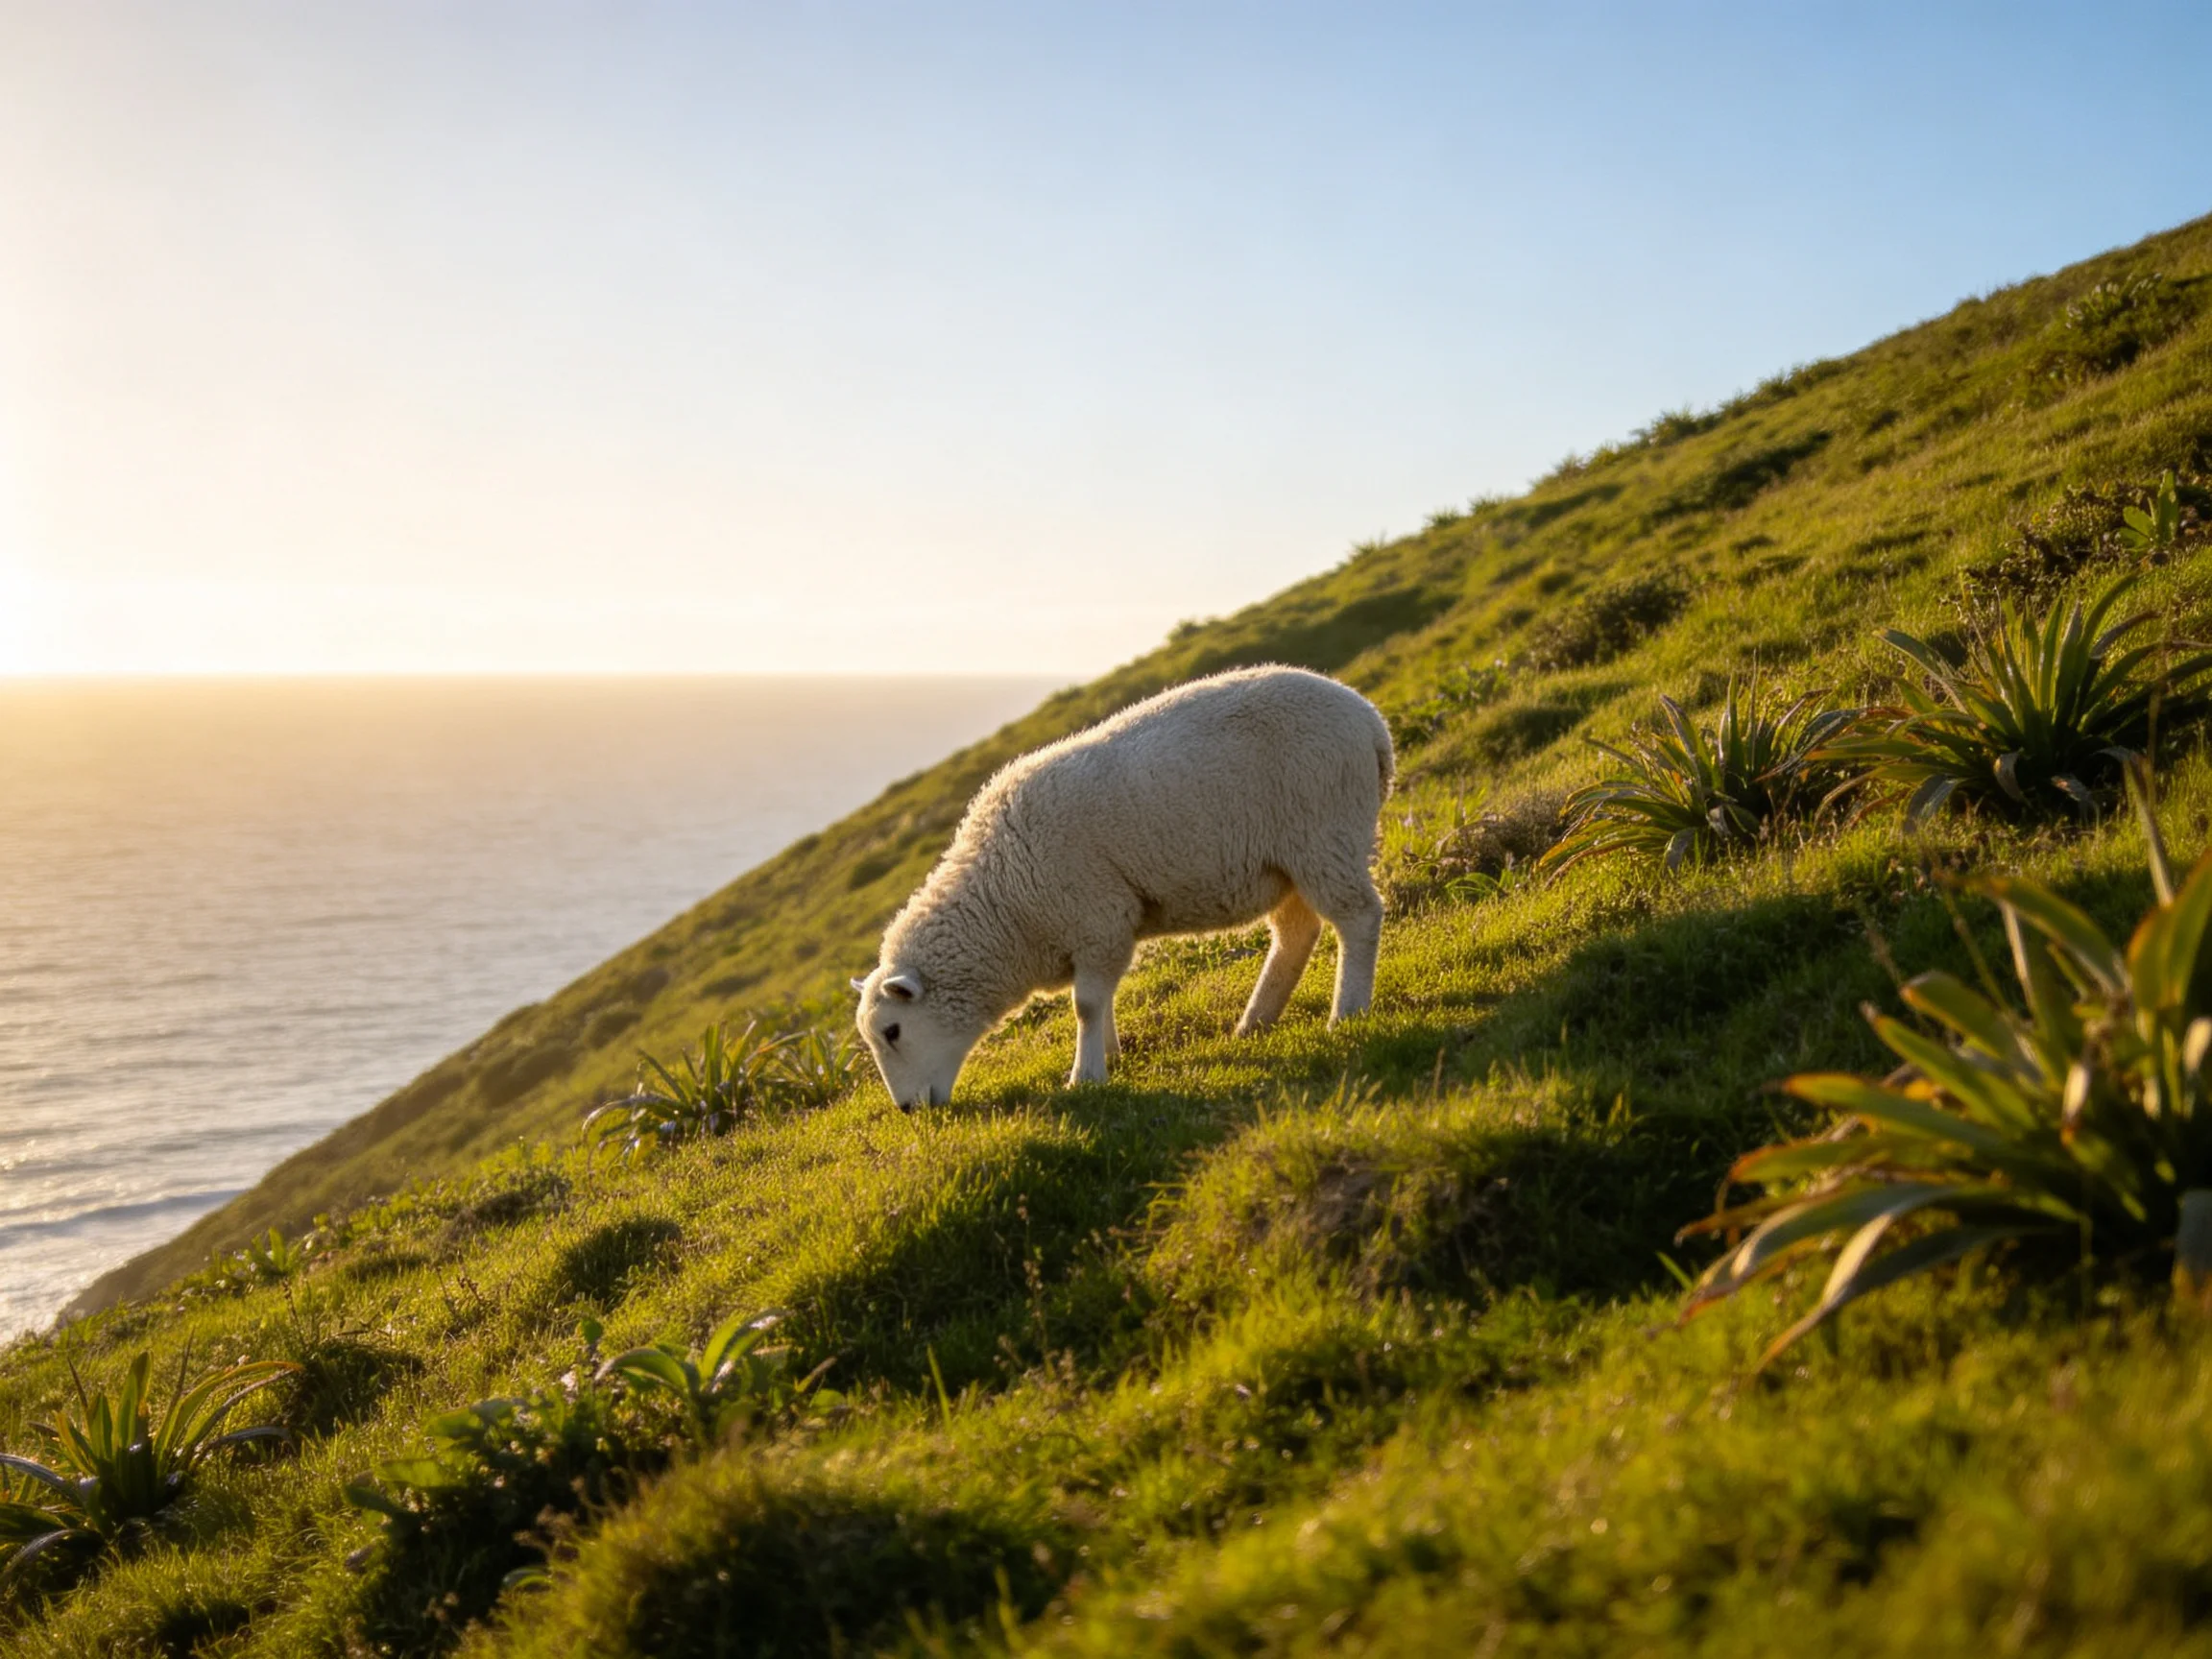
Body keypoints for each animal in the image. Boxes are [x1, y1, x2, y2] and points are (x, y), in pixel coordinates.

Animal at [852, 664, 1394, 1108]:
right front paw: (1110, 1053)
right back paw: (1255, 1022)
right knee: (1296, 933)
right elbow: (1100, 1001)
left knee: (1358, 917)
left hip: (1325, 831)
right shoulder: (1094, 933)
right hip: (1285, 862)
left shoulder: (1097, 917)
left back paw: (1347, 1013)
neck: (1005, 901)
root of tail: (1369, 720)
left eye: (892, 1031)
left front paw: (1086, 1076)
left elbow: (1086, 1006)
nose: (907, 1109)